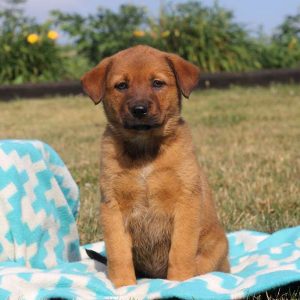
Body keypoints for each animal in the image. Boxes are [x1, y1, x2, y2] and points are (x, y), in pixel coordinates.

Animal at [81, 45, 229, 288]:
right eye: (121, 85)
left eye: (157, 83)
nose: (139, 109)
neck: (145, 152)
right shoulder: (112, 207)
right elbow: (118, 253)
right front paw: (123, 286)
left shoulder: (186, 202)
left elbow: (180, 251)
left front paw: (179, 283)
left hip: (215, 250)